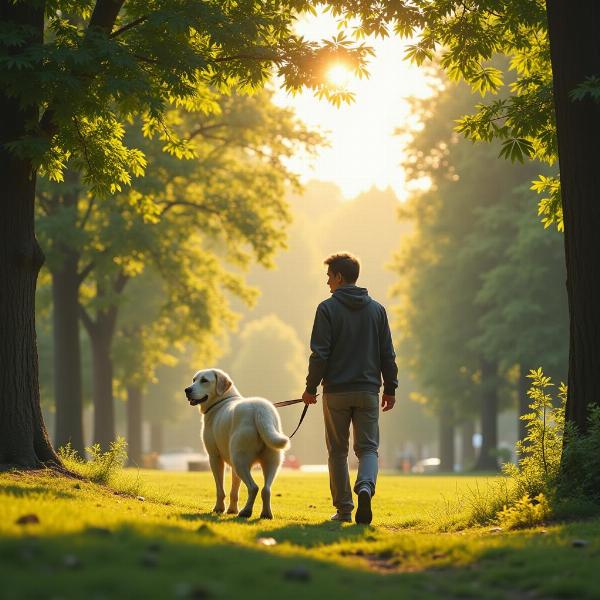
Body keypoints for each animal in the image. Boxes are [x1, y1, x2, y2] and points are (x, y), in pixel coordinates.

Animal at [186, 368, 292, 516]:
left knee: (254, 487)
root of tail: (260, 409)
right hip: (271, 461)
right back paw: (265, 514)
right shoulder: (232, 466)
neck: (221, 401)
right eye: (194, 380)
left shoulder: (214, 458)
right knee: (266, 489)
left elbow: (220, 489)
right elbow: (234, 491)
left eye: (204, 380)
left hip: (240, 461)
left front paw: (219, 509)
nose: (187, 390)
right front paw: (232, 510)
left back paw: (246, 511)